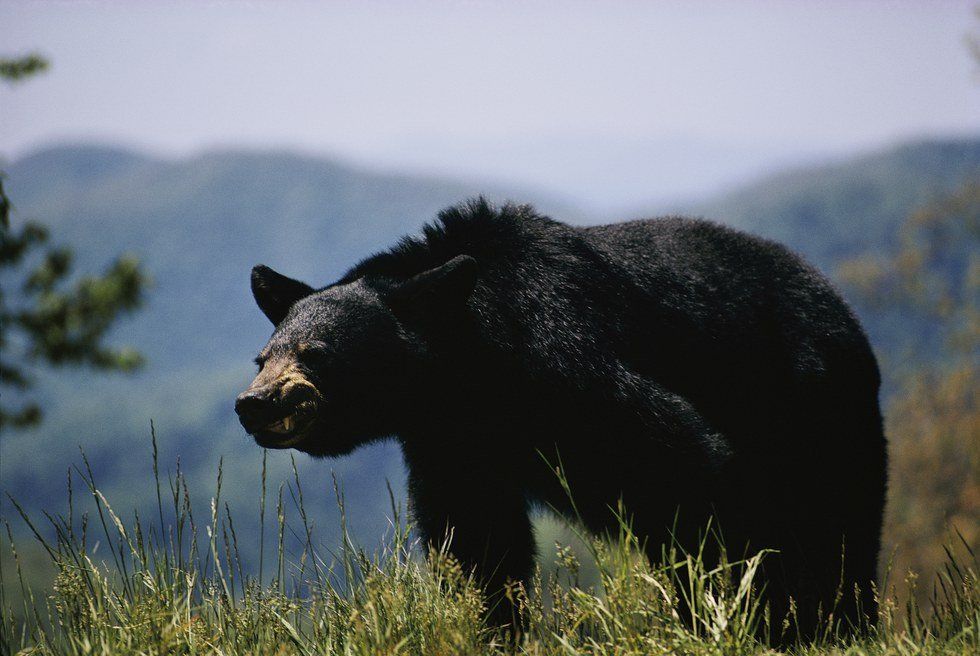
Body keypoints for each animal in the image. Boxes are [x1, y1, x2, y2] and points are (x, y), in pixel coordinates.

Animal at [235, 198, 887, 640]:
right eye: (263, 356)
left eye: (317, 353)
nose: (255, 403)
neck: (474, 362)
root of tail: (839, 303)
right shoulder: (453, 438)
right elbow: (476, 536)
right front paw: (491, 627)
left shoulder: (568, 362)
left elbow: (681, 460)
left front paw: (721, 615)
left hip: (816, 403)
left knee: (835, 523)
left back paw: (832, 623)